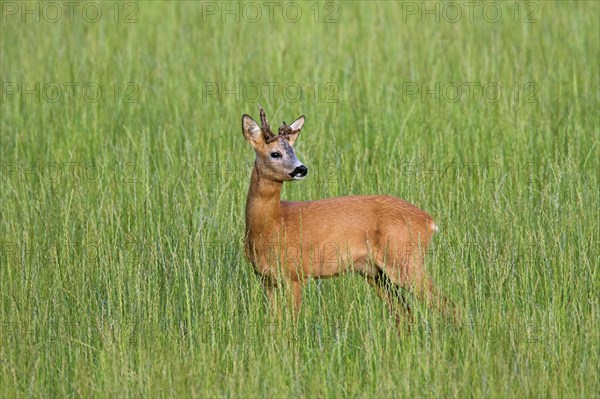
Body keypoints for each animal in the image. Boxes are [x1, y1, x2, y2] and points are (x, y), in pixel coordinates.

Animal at [241, 105, 458, 328]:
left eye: (293, 150)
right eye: (275, 153)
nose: (301, 169)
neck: (273, 225)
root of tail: (429, 222)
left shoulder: (296, 274)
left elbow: (292, 324)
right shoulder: (266, 279)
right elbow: (275, 323)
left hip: (405, 260)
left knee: (448, 305)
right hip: (375, 274)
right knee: (405, 313)